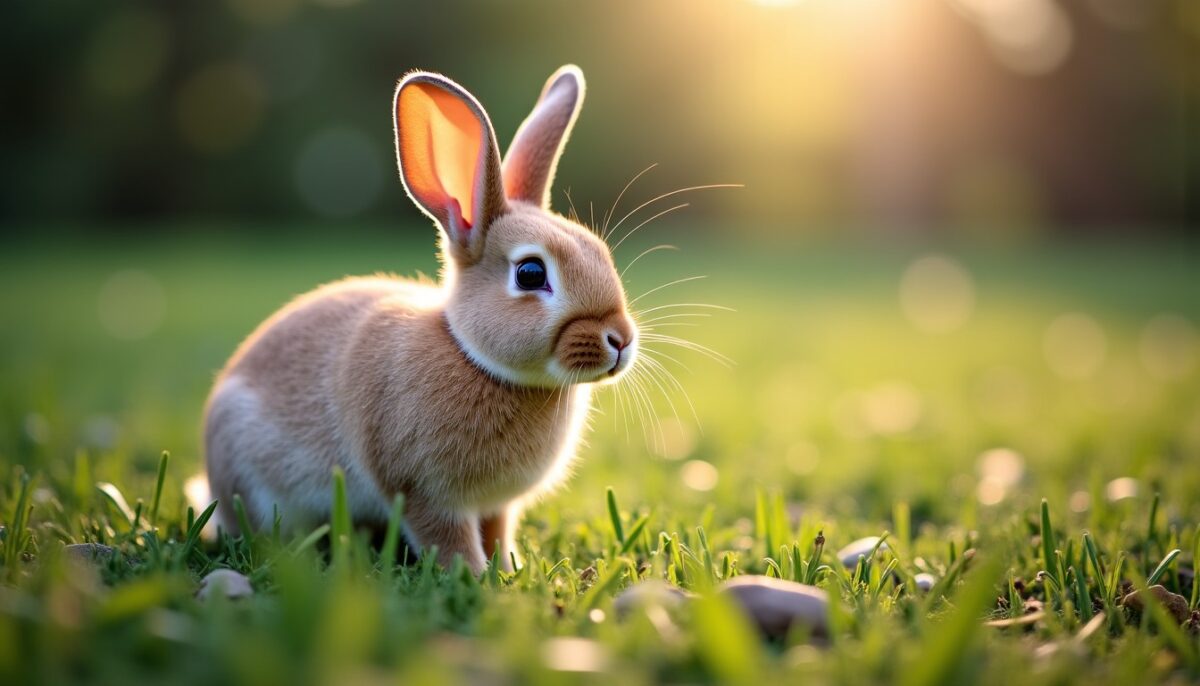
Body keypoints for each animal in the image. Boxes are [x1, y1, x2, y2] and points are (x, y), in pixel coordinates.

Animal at [203, 65, 637, 573]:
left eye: (600, 252)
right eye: (530, 273)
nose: (620, 340)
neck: (476, 360)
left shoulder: (497, 505)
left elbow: (497, 530)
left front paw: (507, 570)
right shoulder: (424, 494)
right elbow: (447, 539)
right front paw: (473, 575)